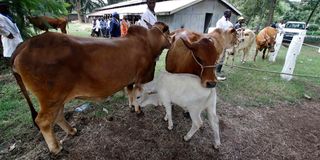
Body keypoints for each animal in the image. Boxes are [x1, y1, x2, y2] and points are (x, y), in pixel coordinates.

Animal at [10, 22, 170, 154]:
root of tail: (26, 44)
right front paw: (138, 110)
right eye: (168, 31)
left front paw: (131, 107)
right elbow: (136, 94)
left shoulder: (130, 79)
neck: (148, 42)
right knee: (43, 121)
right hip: (51, 98)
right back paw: (56, 148)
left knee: (58, 116)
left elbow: (130, 93)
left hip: (58, 98)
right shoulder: (140, 77)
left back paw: (72, 131)